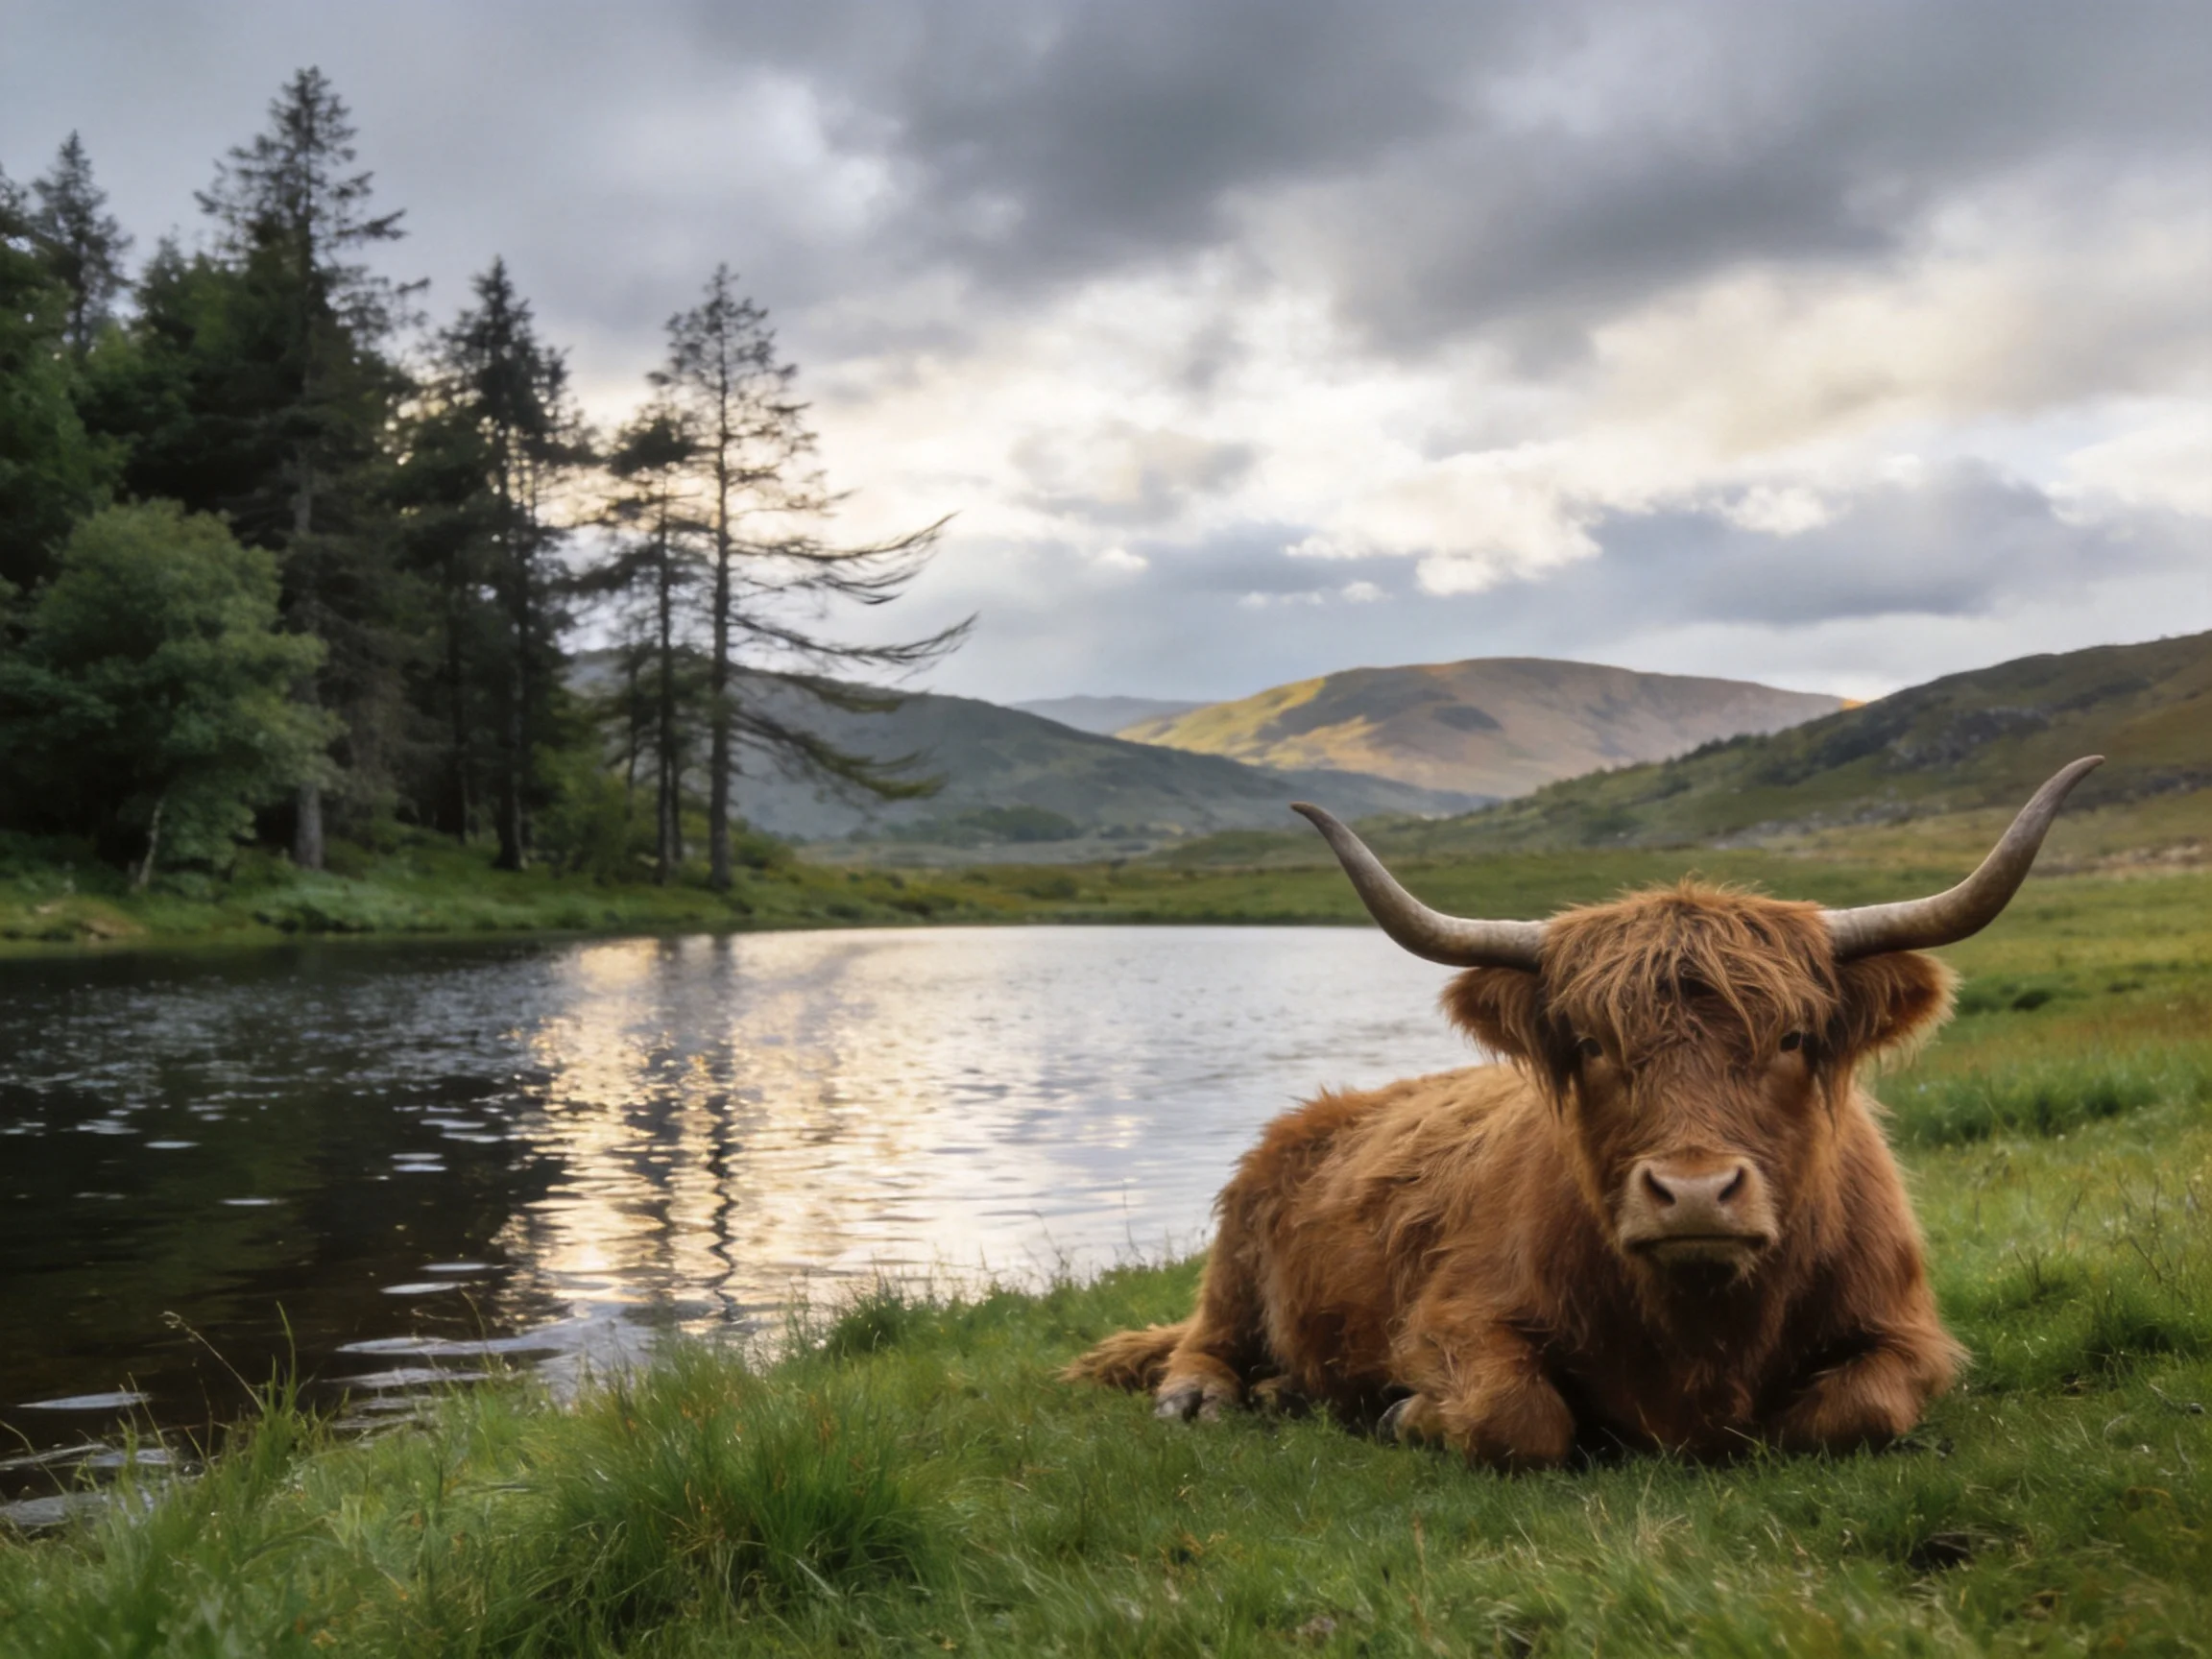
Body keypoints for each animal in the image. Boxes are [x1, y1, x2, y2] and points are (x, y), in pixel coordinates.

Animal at [1065, 758, 2101, 1468]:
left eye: (1794, 1037)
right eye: (1595, 1044)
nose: (1693, 1194)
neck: (1702, 1334)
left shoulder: (1907, 1329)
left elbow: (1856, 1412)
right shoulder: (1456, 1316)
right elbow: (1519, 1419)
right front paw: (1408, 1413)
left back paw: (1283, 1393)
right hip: (1239, 1245)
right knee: (1205, 1336)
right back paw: (1207, 1397)